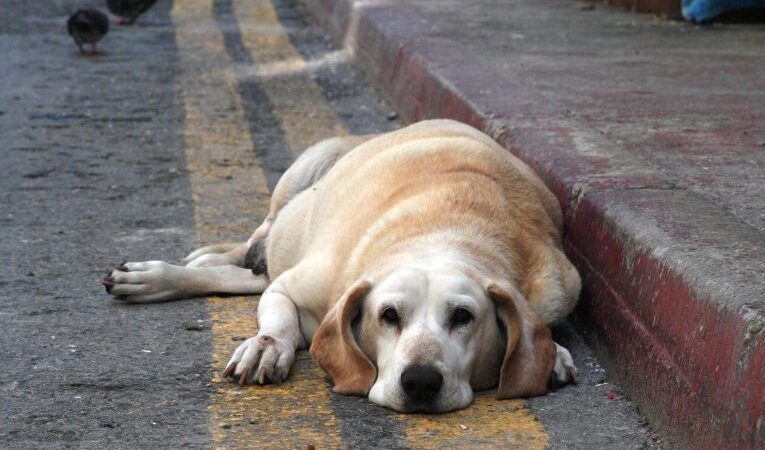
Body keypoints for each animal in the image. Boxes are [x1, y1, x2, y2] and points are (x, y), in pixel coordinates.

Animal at [101, 118, 580, 412]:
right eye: (388, 315)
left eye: (463, 317)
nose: (420, 382)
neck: (447, 230)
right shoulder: (295, 287)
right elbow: (280, 318)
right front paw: (267, 345)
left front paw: (553, 354)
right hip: (309, 165)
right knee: (263, 240)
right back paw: (182, 269)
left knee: (245, 276)